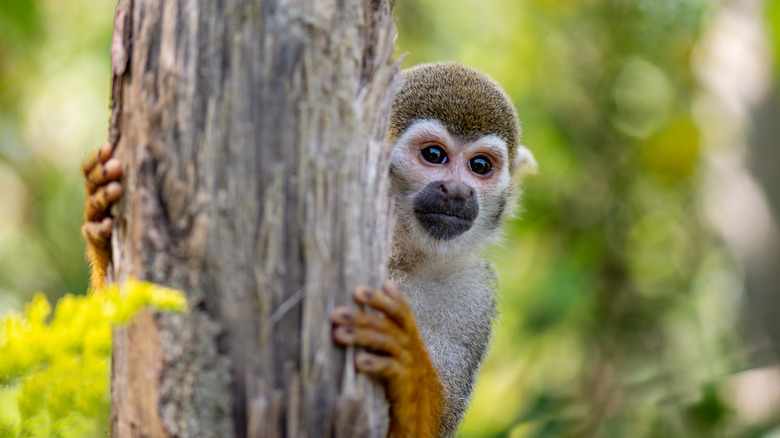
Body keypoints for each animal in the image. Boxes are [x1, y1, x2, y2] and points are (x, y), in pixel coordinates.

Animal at [84, 60, 536, 434]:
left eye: (480, 166)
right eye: (435, 155)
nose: (456, 192)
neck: (401, 253)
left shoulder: (472, 296)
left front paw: (407, 365)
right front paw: (101, 221)